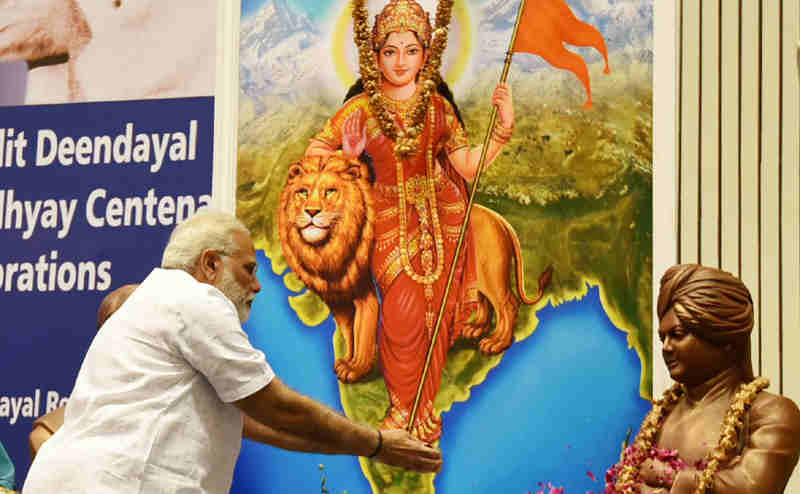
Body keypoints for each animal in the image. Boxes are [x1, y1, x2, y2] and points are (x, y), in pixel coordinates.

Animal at [278, 153, 552, 382]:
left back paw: (497, 343)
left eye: (330, 192)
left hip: (492, 275)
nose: (311, 212)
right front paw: (347, 360)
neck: (328, 248)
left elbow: (362, 332)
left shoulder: (367, 295)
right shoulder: (338, 298)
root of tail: (500, 220)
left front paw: (356, 368)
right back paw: (475, 329)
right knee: (484, 302)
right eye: (302, 192)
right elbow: (348, 333)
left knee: (508, 305)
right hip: (477, 275)